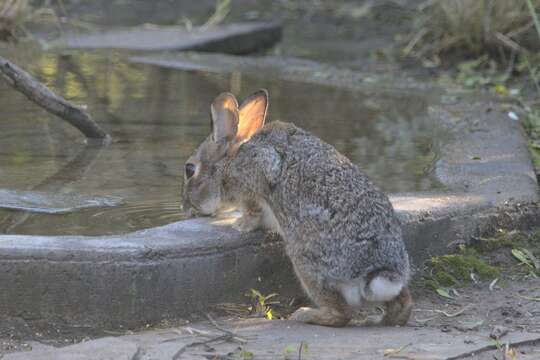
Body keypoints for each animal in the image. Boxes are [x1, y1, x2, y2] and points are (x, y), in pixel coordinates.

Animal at [184, 89, 412, 326]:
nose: (186, 207)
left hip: (305, 262)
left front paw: (240, 225)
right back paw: (378, 320)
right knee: (402, 305)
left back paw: (304, 314)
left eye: (189, 170)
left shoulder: (256, 176)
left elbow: (253, 208)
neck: (232, 158)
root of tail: (377, 272)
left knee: (341, 314)